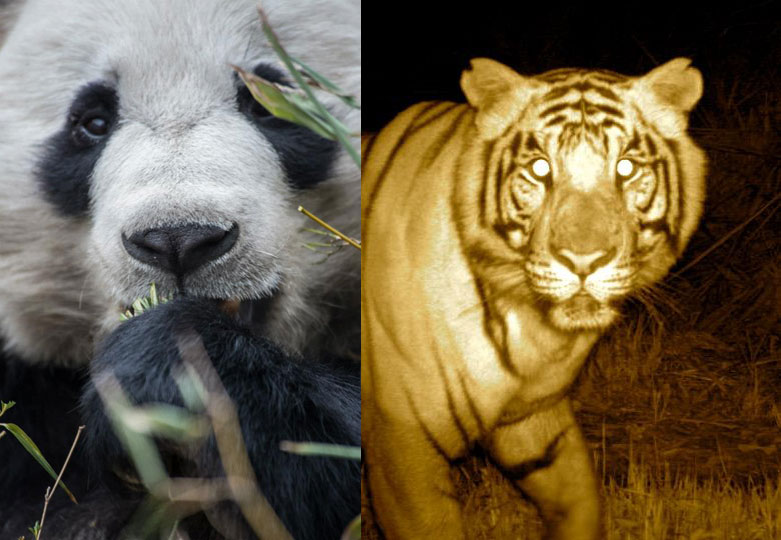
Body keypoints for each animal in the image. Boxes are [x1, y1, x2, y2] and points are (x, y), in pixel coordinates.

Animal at [361, 57, 706, 539]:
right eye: (541, 169)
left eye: (625, 169)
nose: (584, 260)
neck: (535, 333)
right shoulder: (401, 443)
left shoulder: (533, 422)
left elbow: (582, 501)